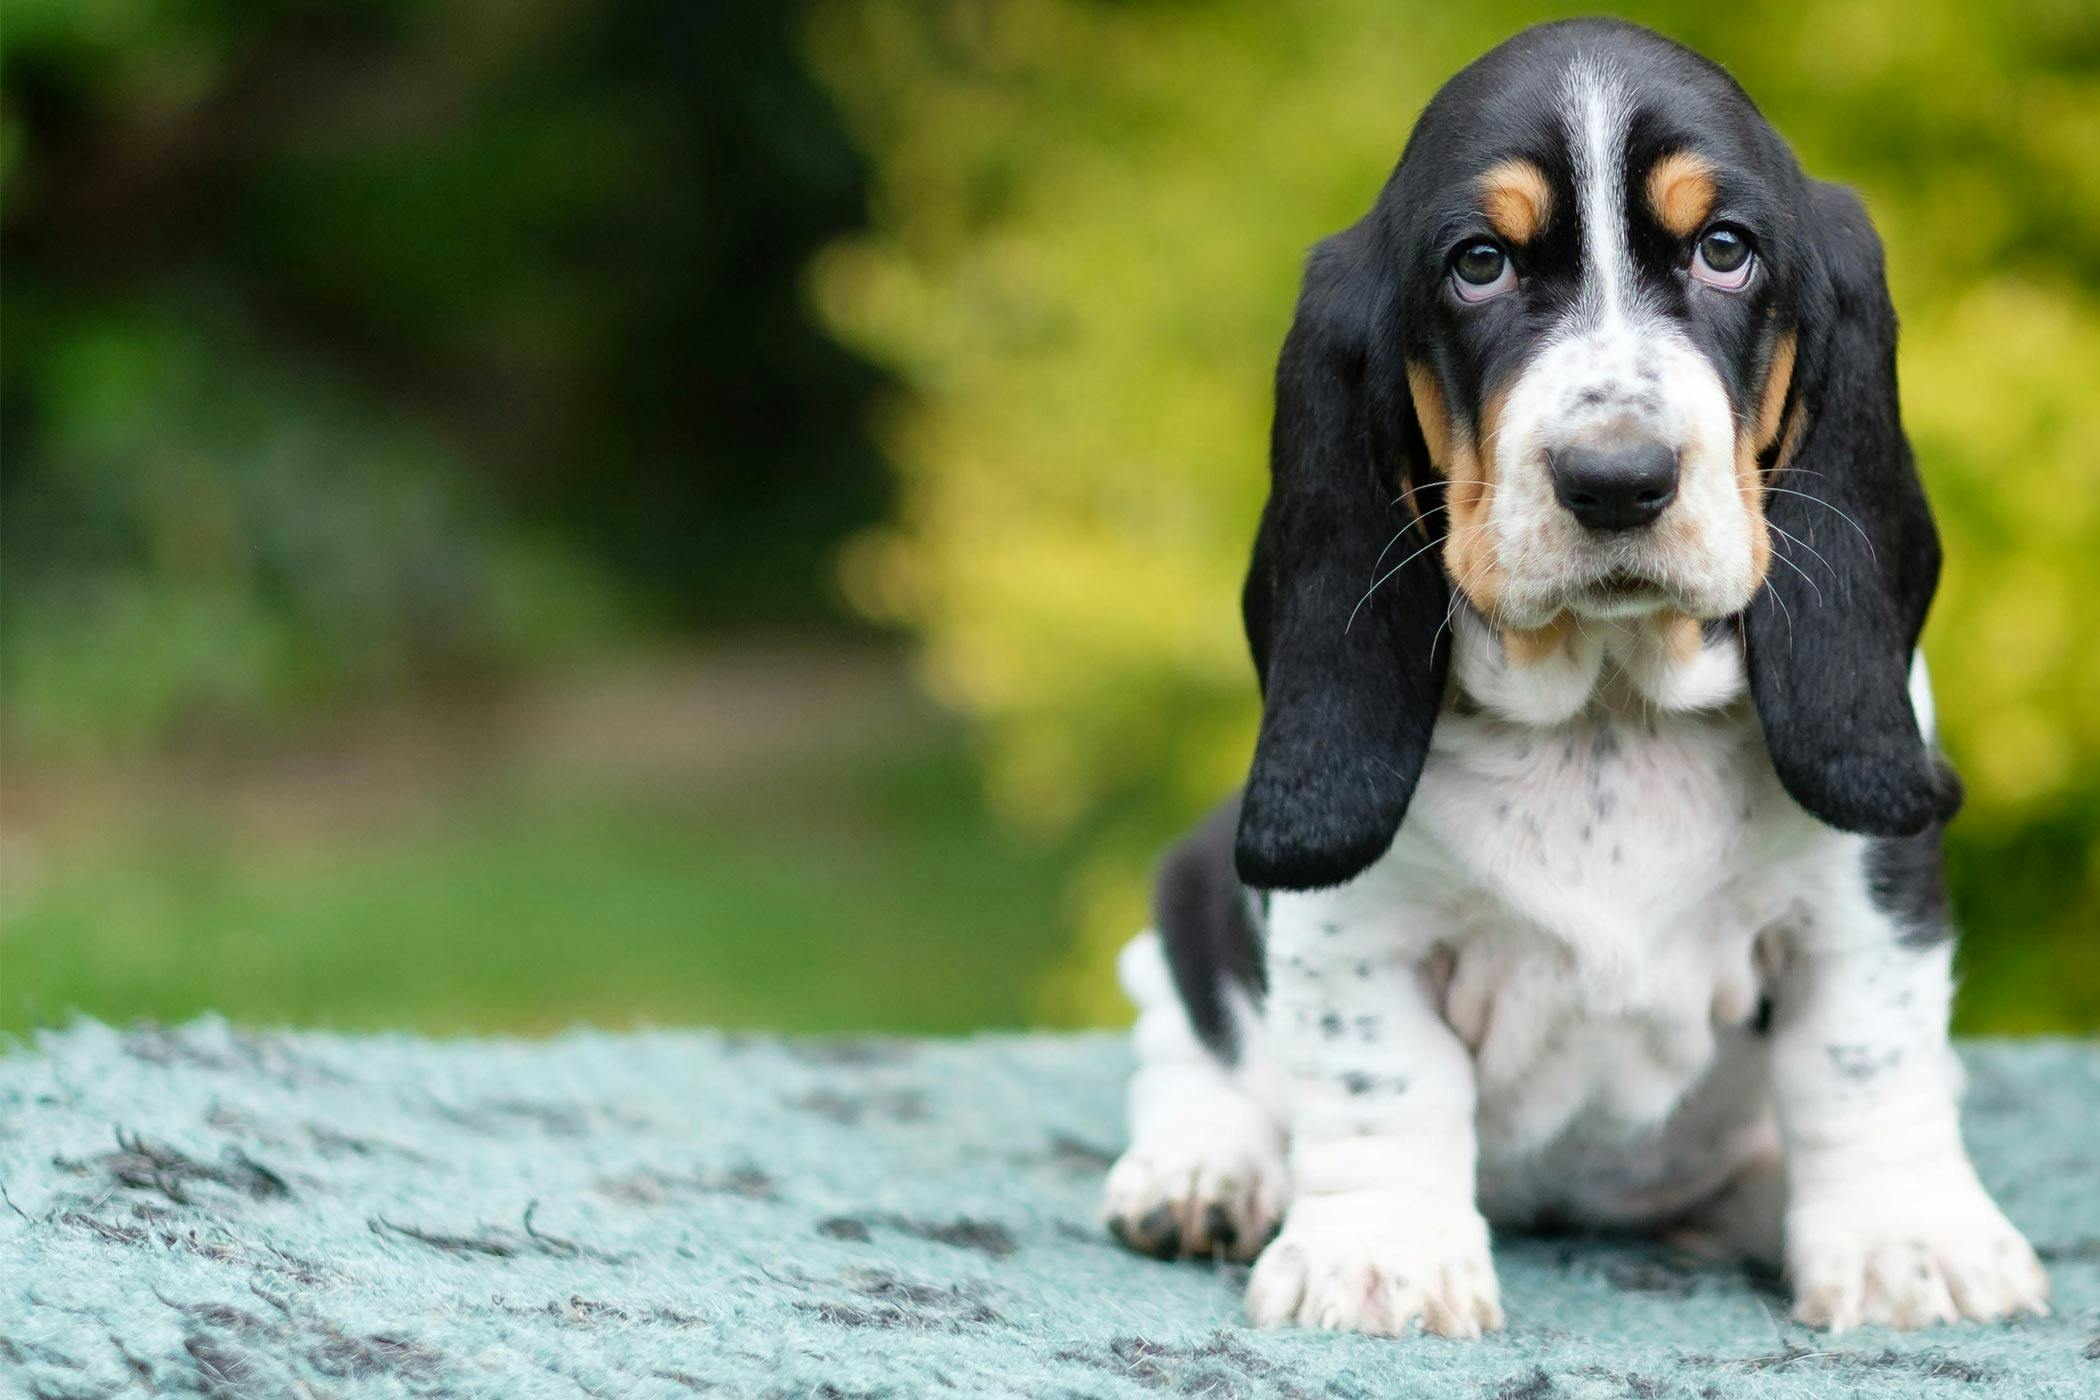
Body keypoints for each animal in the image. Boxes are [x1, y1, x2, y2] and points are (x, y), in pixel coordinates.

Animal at [1117, 16, 2049, 1343]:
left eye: (1725, 250)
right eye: (1479, 265)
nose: (1617, 478)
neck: (1610, 706)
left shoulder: (1862, 899)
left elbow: (1864, 1061)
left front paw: (1904, 1237)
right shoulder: (1360, 926)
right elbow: (1376, 1074)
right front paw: (1381, 1256)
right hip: (1194, 891)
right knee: (1188, 1037)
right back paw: (1204, 1172)